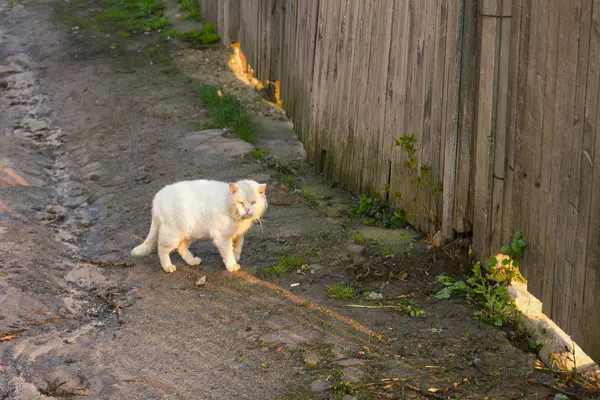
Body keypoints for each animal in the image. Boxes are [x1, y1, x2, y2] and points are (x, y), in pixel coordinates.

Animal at [131, 180, 268, 274]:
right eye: (240, 203)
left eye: (253, 202)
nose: (247, 209)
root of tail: (157, 197)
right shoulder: (222, 237)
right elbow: (228, 252)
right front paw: (232, 265)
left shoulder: (238, 234)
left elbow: (238, 245)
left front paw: (236, 256)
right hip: (173, 233)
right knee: (162, 247)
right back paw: (168, 266)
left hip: (190, 232)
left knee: (181, 247)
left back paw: (192, 261)